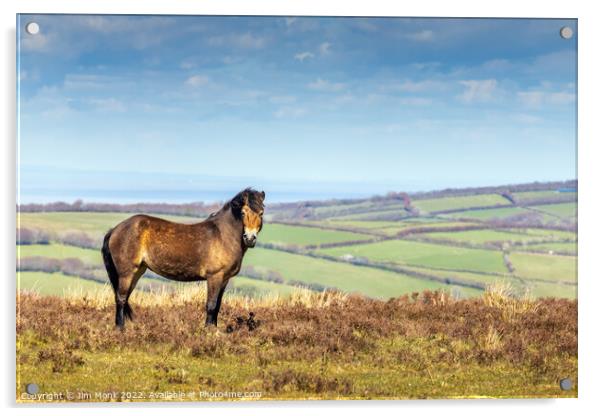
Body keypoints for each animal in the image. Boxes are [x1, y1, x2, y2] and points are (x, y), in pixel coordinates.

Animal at [99, 188, 264, 328]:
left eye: (261, 213)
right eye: (243, 212)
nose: (250, 238)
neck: (223, 235)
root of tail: (115, 230)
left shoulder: (224, 279)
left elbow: (217, 306)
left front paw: (214, 329)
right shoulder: (215, 277)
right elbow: (211, 305)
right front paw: (208, 331)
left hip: (138, 271)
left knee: (125, 297)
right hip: (126, 273)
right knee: (121, 298)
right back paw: (120, 329)